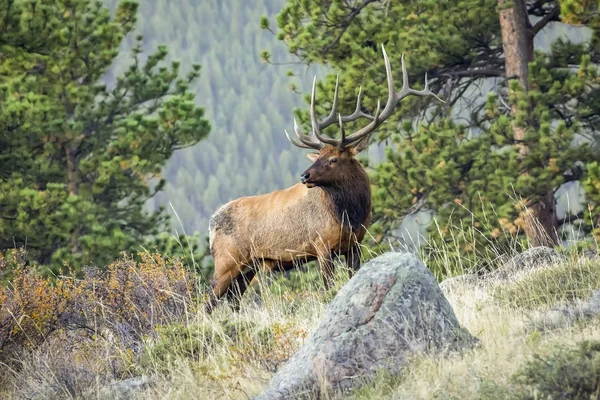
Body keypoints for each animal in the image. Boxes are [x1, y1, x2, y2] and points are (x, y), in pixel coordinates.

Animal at [206, 45, 440, 310]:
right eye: (318, 156)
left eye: (333, 159)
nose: (304, 175)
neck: (351, 215)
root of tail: (211, 224)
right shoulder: (321, 246)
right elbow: (328, 288)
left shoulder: (355, 245)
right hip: (227, 261)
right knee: (207, 303)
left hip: (248, 268)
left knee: (232, 303)